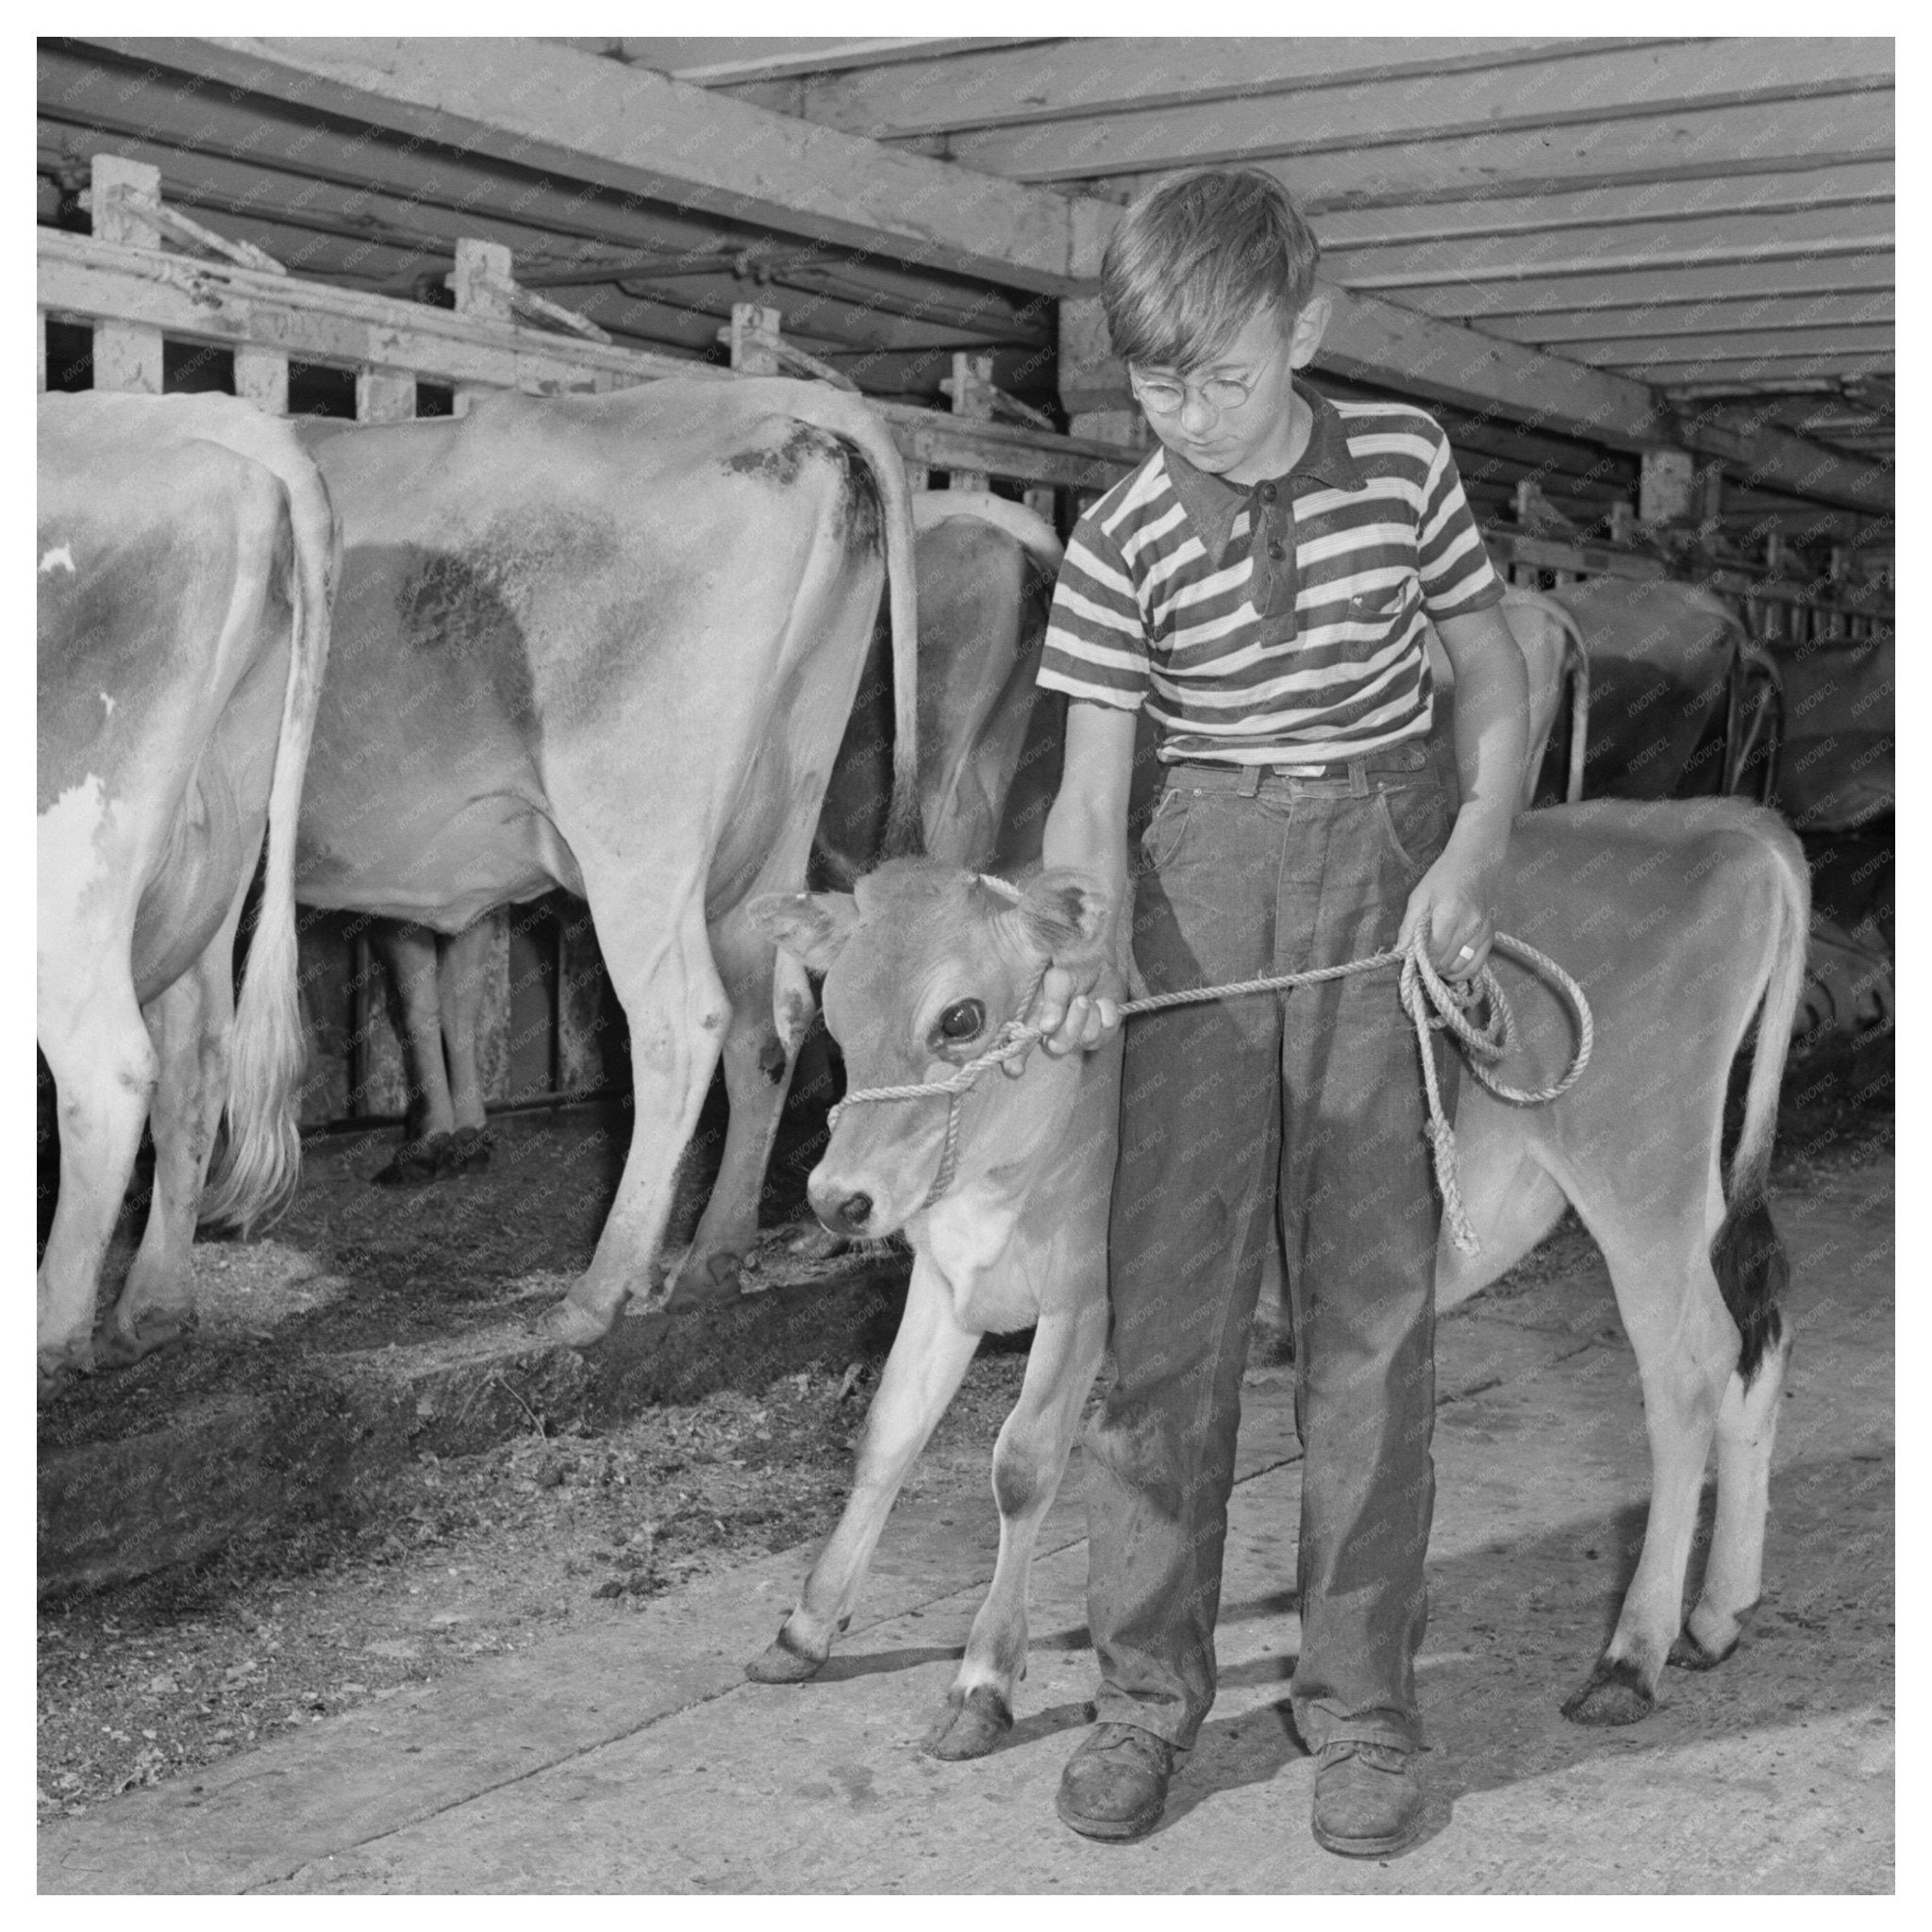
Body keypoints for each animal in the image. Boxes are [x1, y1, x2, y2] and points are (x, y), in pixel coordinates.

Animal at [293, 376, 919, 1344]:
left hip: (638, 839)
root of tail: (774, 403)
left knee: (681, 1022)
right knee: (770, 1021)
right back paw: (710, 1265)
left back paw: (601, 1289)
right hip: (771, 820)